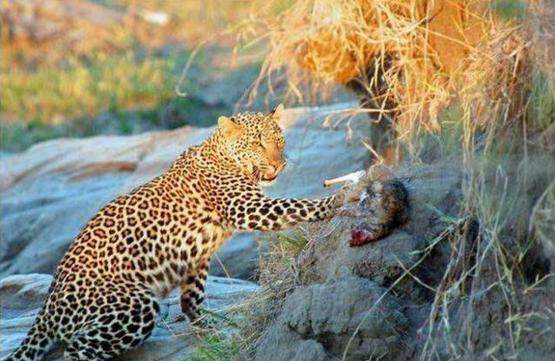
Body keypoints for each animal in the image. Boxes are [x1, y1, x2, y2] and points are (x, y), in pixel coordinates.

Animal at [6, 104, 394, 360]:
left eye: (280, 140)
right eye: (258, 143)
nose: (279, 163)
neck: (223, 154)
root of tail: (47, 307)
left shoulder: (198, 256)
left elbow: (192, 297)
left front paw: (208, 328)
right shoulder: (247, 208)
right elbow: (296, 205)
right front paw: (340, 197)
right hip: (134, 305)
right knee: (75, 350)